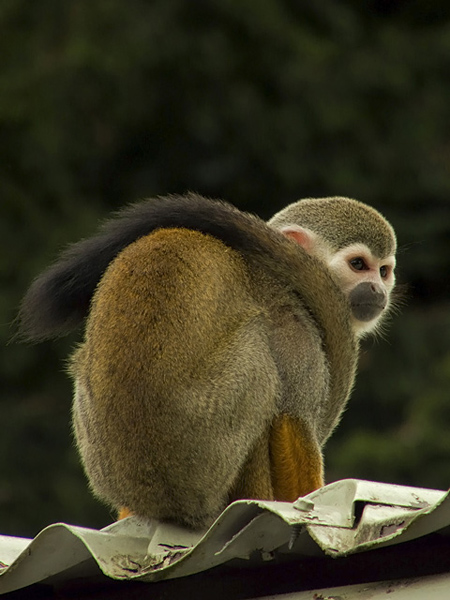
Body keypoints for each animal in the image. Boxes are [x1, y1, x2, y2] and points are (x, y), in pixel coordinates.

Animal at [19, 195, 396, 528]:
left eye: (384, 271)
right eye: (359, 265)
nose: (378, 291)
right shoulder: (294, 326)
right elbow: (294, 424)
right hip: (205, 450)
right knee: (260, 366)